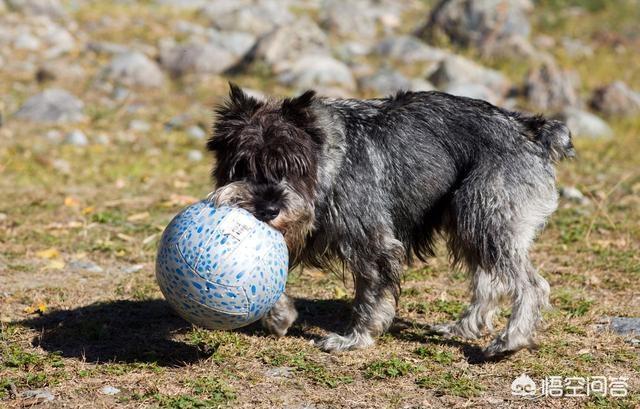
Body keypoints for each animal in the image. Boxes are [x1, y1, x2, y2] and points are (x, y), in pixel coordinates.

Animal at [206, 83, 576, 356]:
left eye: (292, 166)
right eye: (242, 165)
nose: (268, 210)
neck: (329, 160)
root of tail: (531, 131)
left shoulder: (374, 244)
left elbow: (369, 298)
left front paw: (355, 339)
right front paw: (279, 316)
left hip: (487, 220)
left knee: (531, 285)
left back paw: (511, 340)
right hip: (470, 223)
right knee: (490, 283)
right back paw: (463, 327)